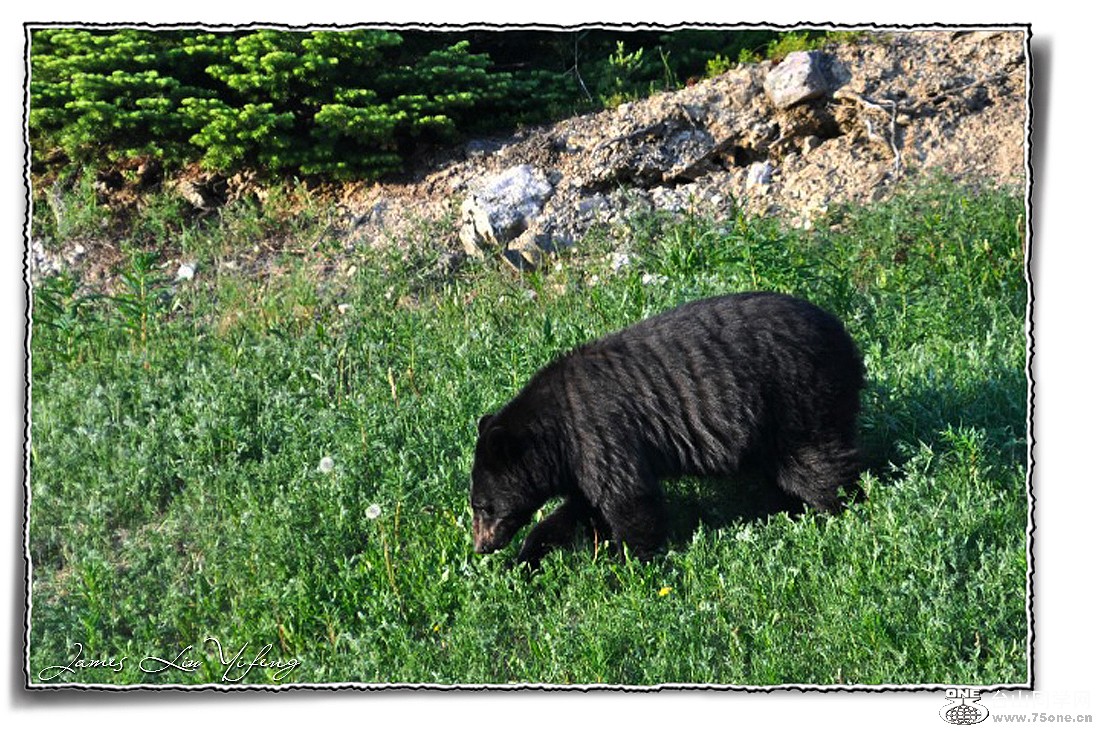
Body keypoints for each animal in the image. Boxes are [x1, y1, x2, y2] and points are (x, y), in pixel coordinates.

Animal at [468, 290, 862, 562]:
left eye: (483, 506)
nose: (481, 547)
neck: (557, 431)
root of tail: (846, 337)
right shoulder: (583, 460)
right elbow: (581, 509)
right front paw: (526, 558)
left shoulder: (600, 431)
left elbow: (629, 499)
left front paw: (625, 565)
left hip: (797, 401)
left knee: (818, 467)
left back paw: (844, 512)